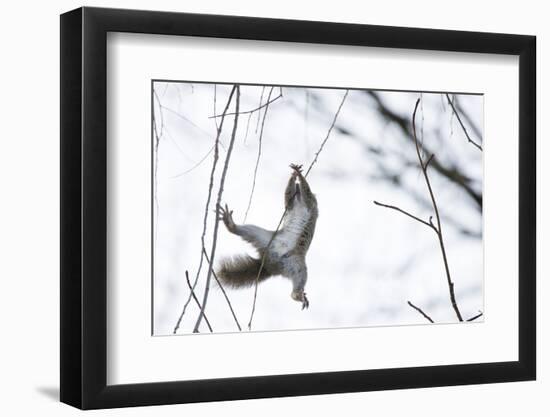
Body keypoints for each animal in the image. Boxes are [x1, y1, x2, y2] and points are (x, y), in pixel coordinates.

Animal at [217, 162, 320, 308]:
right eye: (295, 189)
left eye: (299, 189)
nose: (297, 186)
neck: (299, 202)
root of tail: (269, 265)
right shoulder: (290, 205)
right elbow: (287, 197)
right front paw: (293, 176)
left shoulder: (310, 202)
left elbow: (307, 192)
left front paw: (299, 175)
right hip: (262, 237)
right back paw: (231, 224)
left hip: (297, 265)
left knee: (299, 279)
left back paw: (297, 295)